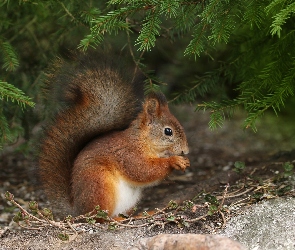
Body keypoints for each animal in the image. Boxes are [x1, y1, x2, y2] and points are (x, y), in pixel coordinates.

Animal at [38, 54, 191, 217]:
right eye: (168, 131)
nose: (186, 150)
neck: (143, 141)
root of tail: (78, 210)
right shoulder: (127, 154)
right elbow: (142, 170)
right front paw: (174, 161)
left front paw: (184, 163)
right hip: (99, 184)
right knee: (100, 217)